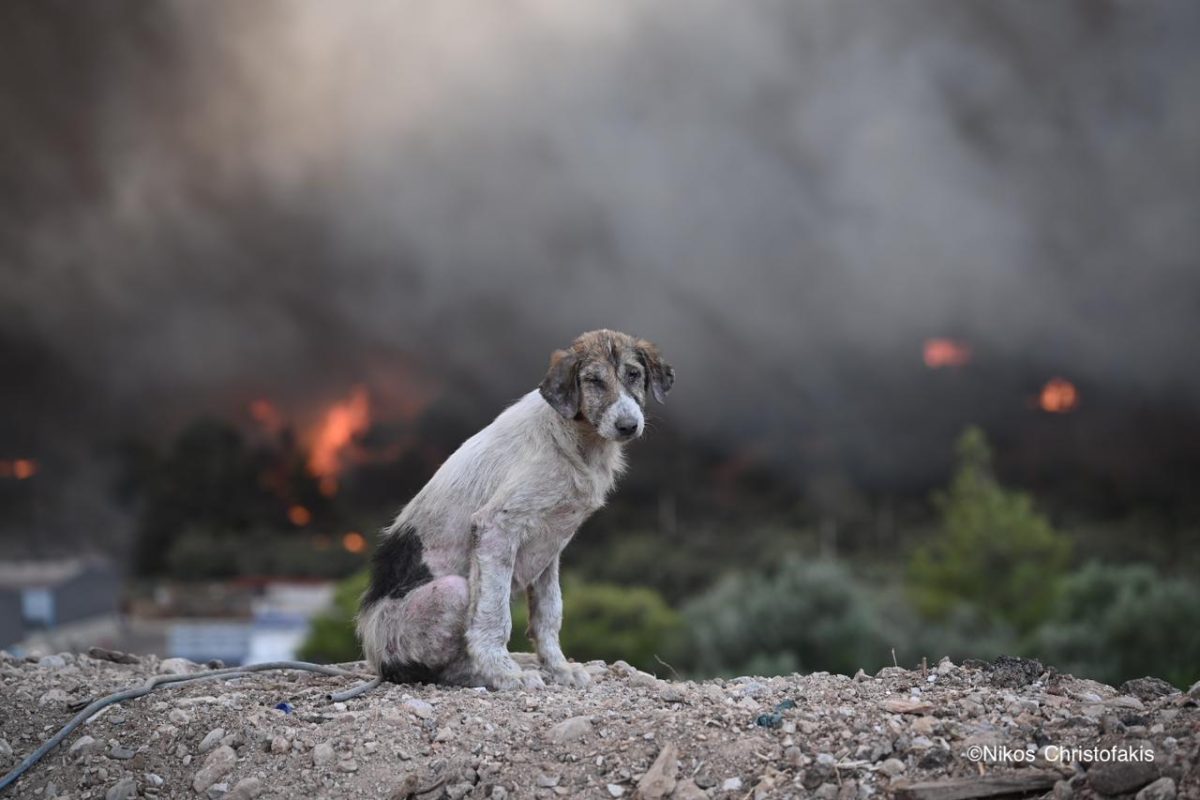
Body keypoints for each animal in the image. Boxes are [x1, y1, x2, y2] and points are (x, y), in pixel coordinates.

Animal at [355, 328, 676, 690]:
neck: (576, 439)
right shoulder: (496, 527)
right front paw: (506, 674)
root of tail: (377, 658)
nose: (628, 425)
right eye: (593, 380)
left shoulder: (551, 545)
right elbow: (493, 617)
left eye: (633, 374)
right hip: (453, 591)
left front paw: (560, 669)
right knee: (441, 668)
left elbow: (549, 613)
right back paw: (480, 674)